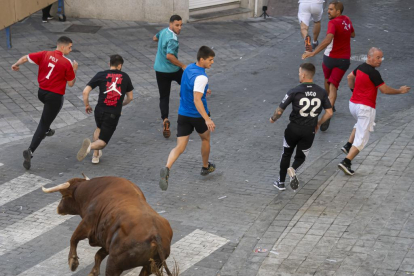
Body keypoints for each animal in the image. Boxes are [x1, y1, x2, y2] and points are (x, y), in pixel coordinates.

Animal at [42, 176, 177, 274]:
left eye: (63, 196)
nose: (58, 208)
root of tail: (155, 235)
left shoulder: (87, 223)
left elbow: (73, 239)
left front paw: (73, 262)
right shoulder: (107, 242)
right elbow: (98, 255)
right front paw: (93, 272)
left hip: (114, 263)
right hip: (149, 266)